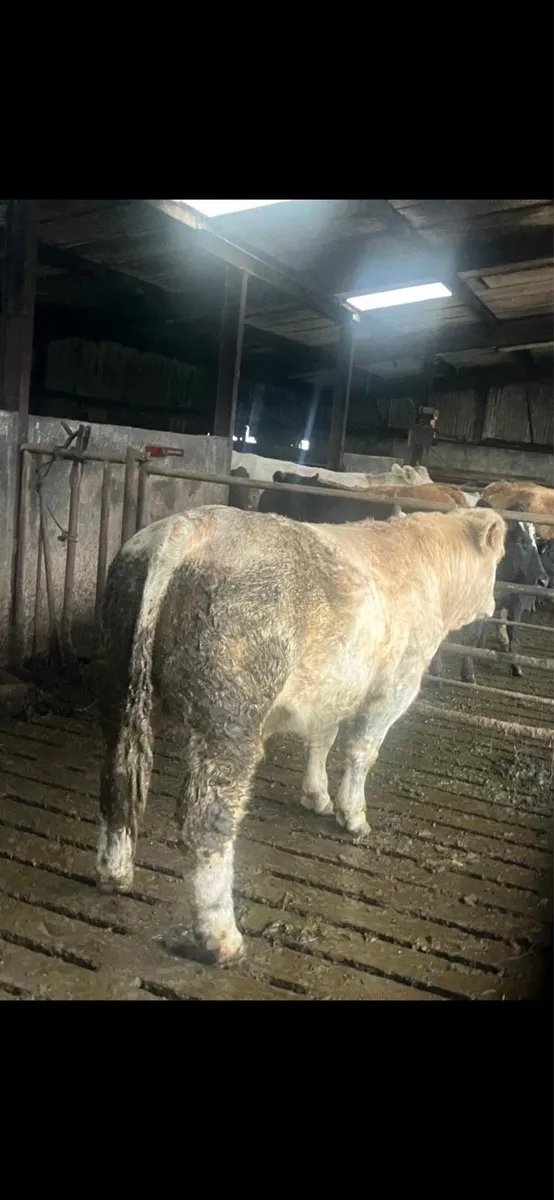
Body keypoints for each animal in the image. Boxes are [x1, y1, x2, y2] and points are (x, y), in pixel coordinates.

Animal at [96, 503, 506, 966]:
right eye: (500, 558)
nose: (493, 604)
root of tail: (190, 524)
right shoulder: (396, 684)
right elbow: (362, 751)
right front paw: (354, 817)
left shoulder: (332, 687)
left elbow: (322, 738)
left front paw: (317, 797)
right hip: (230, 716)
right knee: (207, 821)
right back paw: (222, 939)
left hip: (119, 681)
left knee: (117, 782)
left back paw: (115, 874)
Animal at [429, 500, 548, 684]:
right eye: (520, 541)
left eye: (536, 541)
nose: (543, 580)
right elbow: (472, 635)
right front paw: (466, 672)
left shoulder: (517, 602)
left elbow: (513, 635)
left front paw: (516, 666)